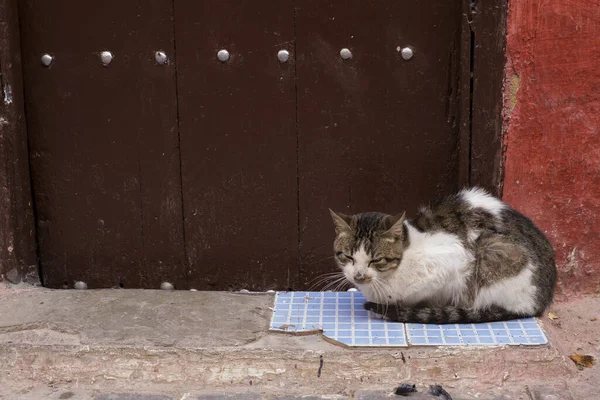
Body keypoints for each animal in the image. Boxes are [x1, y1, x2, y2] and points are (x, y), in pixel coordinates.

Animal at [330, 188, 556, 324]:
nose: (359, 276)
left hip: (492, 251)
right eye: (348, 257)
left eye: (376, 260)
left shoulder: (454, 261)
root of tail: (542, 300)